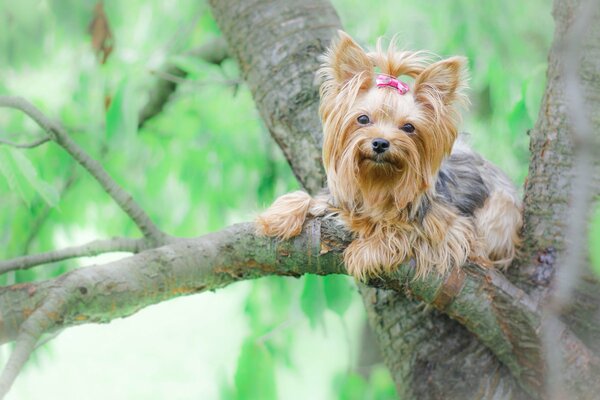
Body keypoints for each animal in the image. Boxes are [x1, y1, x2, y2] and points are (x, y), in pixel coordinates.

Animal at [255, 32, 524, 282]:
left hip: (500, 212)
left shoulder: (451, 230)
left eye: (409, 127)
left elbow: (403, 230)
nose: (381, 143)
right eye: (363, 119)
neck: (378, 182)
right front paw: (279, 216)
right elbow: (311, 199)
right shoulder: (341, 197)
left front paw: (366, 251)